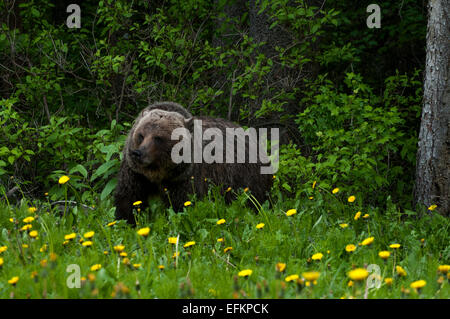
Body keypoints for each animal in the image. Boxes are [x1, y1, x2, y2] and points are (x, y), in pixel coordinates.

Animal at [114, 102, 272, 225]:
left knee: (252, 201)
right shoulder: (136, 173)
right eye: (141, 135)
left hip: (244, 177)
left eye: (158, 138)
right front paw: (128, 221)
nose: (138, 153)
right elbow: (129, 197)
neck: (158, 173)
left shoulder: (185, 178)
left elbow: (183, 205)